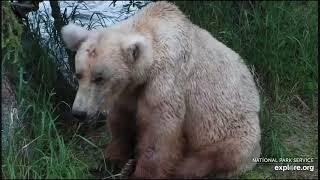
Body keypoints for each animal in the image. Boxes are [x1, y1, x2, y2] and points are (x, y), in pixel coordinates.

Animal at [61, 1, 262, 179]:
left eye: (99, 77)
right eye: (79, 74)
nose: (79, 112)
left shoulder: (165, 79)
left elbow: (158, 130)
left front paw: (141, 173)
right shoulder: (128, 90)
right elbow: (121, 119)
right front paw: (111, 160)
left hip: (235, 131)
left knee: (215, 157)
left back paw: (182, 168)